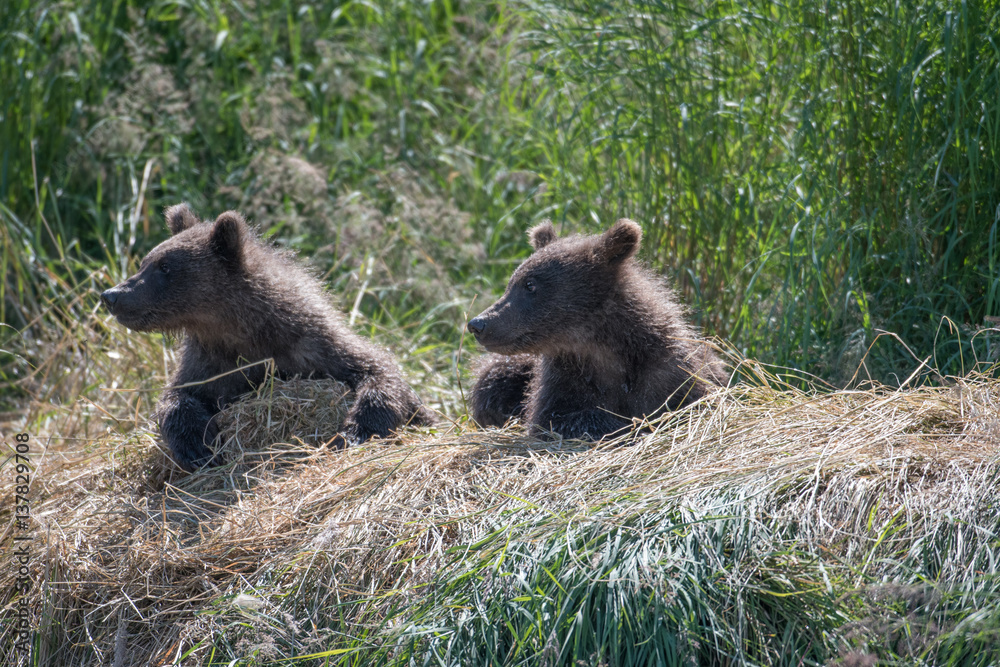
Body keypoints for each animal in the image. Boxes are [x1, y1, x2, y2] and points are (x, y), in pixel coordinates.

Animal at [100, 204, 433, 471]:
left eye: (165, 267)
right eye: (145, 262)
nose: (112, 295)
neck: (242, 330)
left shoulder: (312, 347)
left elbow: (380, 373)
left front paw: (354, 433)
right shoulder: (211, 364)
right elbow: (177, 397)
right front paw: (198, 446)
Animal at [466, 218, 726, 440]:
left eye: (529, 285)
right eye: (511, 283)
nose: (477, 324)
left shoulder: (668, 373)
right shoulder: (562, 380)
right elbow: (559, 418)